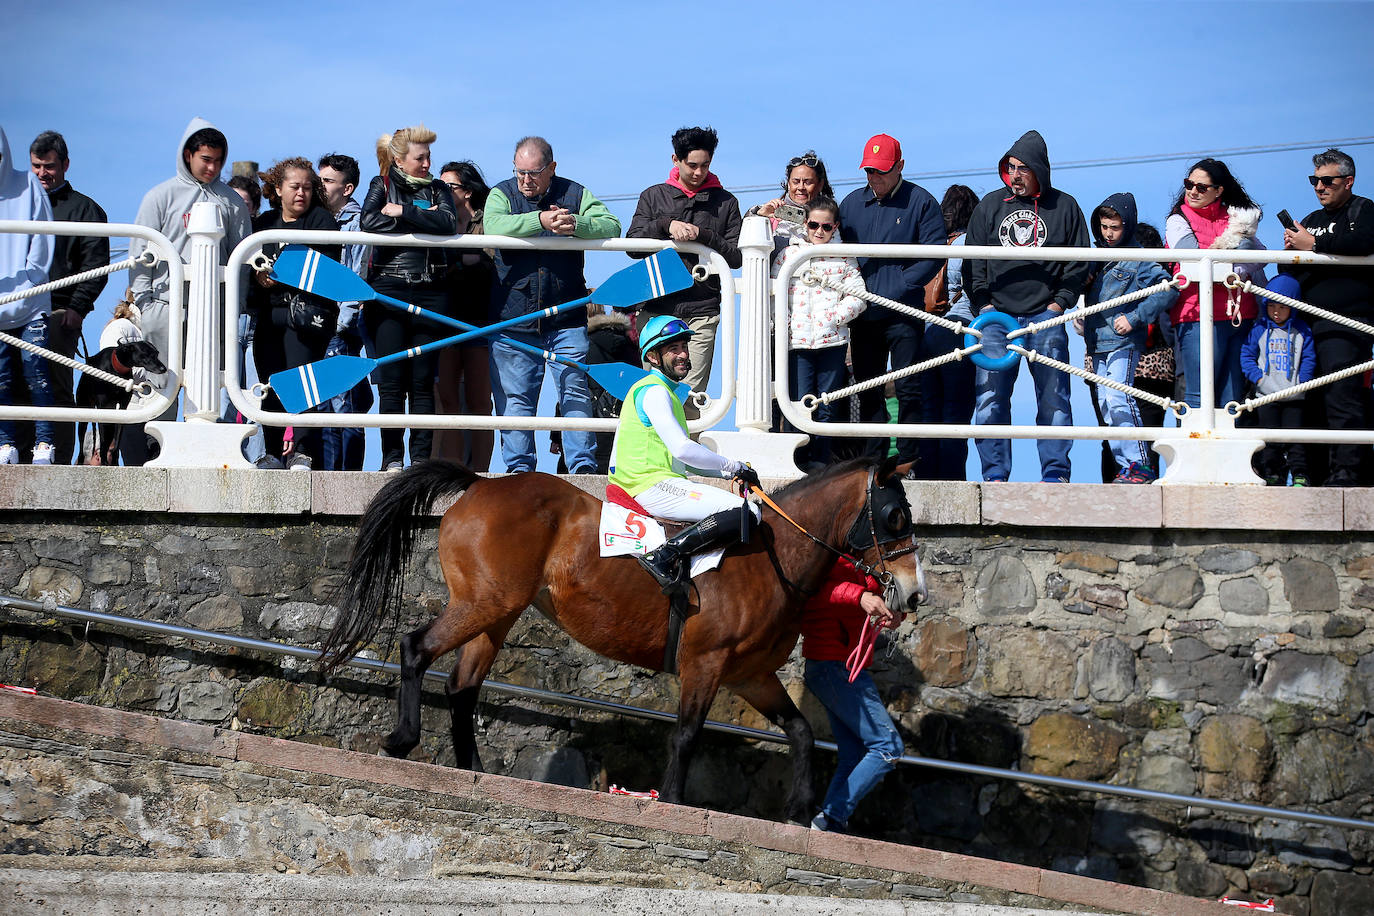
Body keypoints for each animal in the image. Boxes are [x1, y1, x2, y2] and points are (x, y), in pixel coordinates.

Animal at [316, 455, 928, 818]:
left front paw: (801, 809)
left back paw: (472, 769)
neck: (770, 558)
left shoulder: (750, 674)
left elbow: (800, 733)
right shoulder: (705, 662)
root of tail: (482, 485)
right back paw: (403, 739)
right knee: (417, 648)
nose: (912, 594)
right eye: (895, 516)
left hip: (498, 613)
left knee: (463, 687)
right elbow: (687, 735)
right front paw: (676, 801)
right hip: (482, 603)